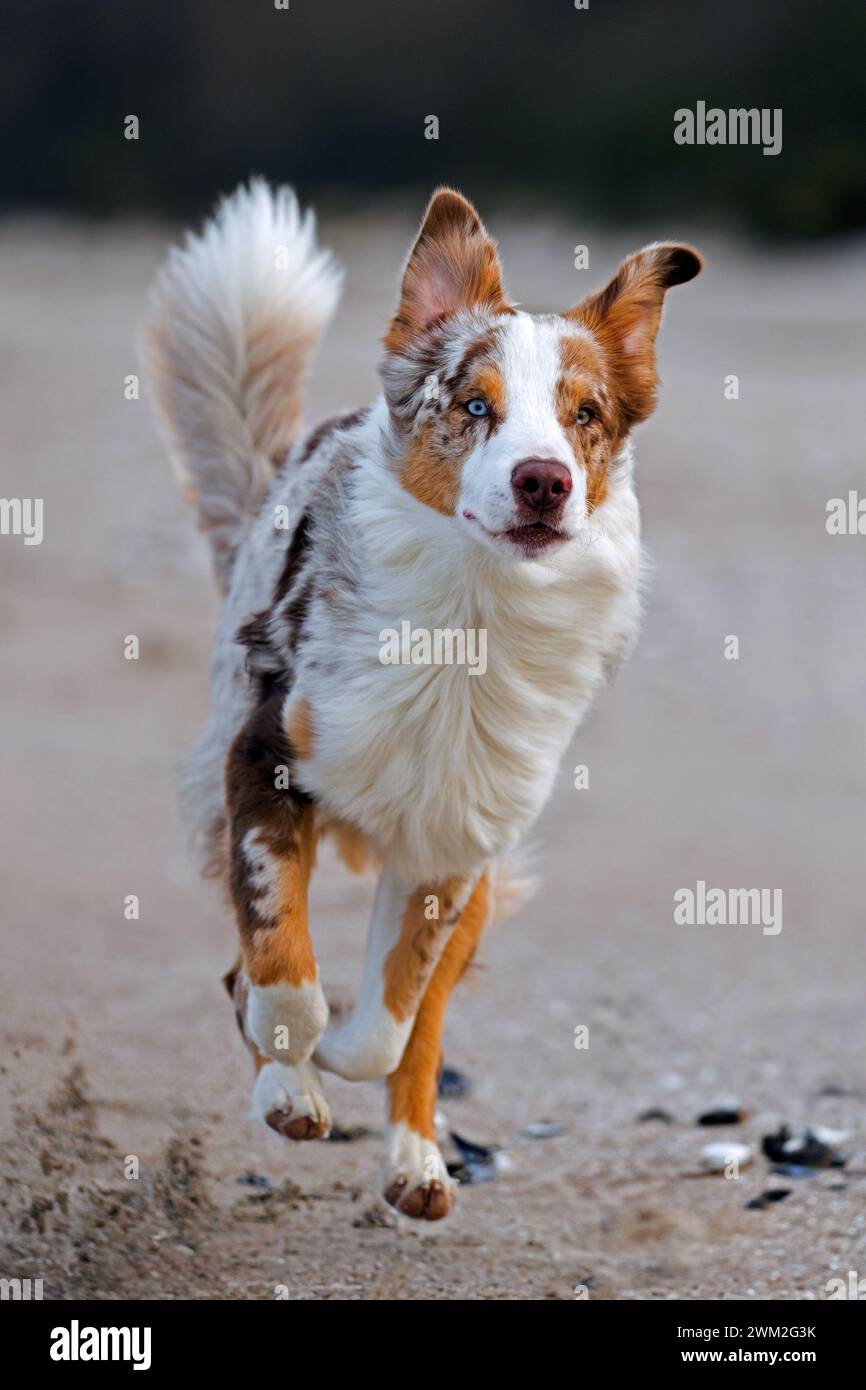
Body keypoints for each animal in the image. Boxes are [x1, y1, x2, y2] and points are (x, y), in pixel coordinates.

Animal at [143, 182, 706, 1217]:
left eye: (586, 414)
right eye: (475, 405)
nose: (543, 481)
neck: (467, 618)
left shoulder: (450, 847)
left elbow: (391, 1019)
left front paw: (338, 1056)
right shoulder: (264, 760)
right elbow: (279, 961)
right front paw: (292, 1076)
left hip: (485, 873)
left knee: (423, 1028)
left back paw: (415, 1162)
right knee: (250, 963)